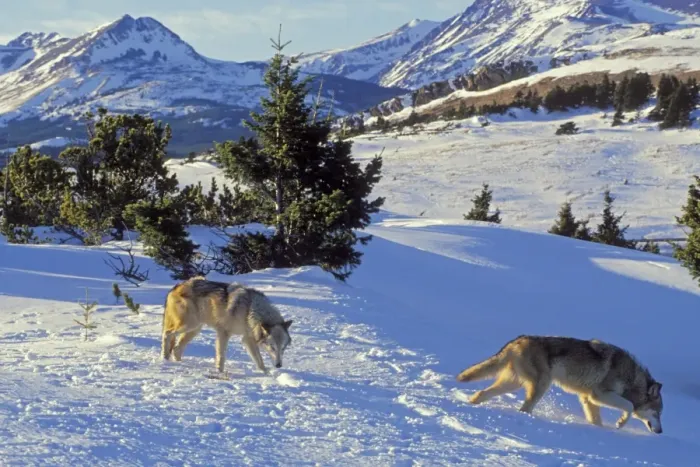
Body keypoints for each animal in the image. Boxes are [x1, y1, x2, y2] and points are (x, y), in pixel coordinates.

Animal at [161, 277, 293, 374]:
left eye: (283, 348)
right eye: (272, 347)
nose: (279, 365)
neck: (249, 309)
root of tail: (176, 286)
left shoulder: (248, 339)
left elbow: (260, 362)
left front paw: (268, 375)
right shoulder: (224, 333)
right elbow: (221, 356)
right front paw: (220, 372)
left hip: (195, 329)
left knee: (176, 349)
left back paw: (179, 363)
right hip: (189, 325)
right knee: (167, 334)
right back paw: (165, 358)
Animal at [456, 335, 663, 434]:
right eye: (658, 413)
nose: (661, 432)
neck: (632, 379)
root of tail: (518, 340)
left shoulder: (588, 399)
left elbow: (596, 421)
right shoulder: (598, 395)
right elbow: (628, 406)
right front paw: (620, 423)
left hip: (512, 384)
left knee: (481, 394)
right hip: (541, 385)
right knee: (524, 408)